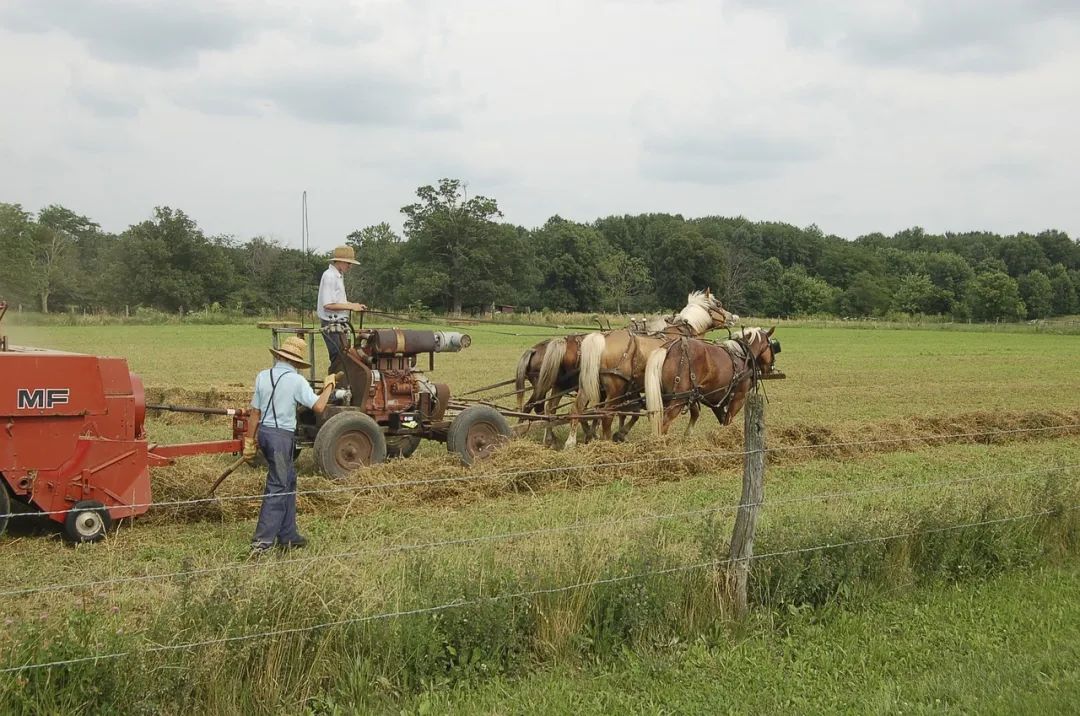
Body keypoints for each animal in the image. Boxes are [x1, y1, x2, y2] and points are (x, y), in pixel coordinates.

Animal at [561, 289, 738, 449]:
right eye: (719, 304)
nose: (733, 317)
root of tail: (602, 338)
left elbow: (637, 411)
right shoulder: (686, 390)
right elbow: (693, 412)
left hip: (589, 384)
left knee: (578, 408)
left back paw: (571, 442)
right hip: (615, 389)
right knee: (606, 415)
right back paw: (605, 442)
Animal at [643, 326, 781, 436]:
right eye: (772, 346)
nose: (770, 367)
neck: (744, 354)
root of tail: (668, 348)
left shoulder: (712, 399)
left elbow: (715, 419)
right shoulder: (738, 399)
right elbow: (728, 422)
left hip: (670, 398)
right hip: (678, 399)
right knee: (664, 423)